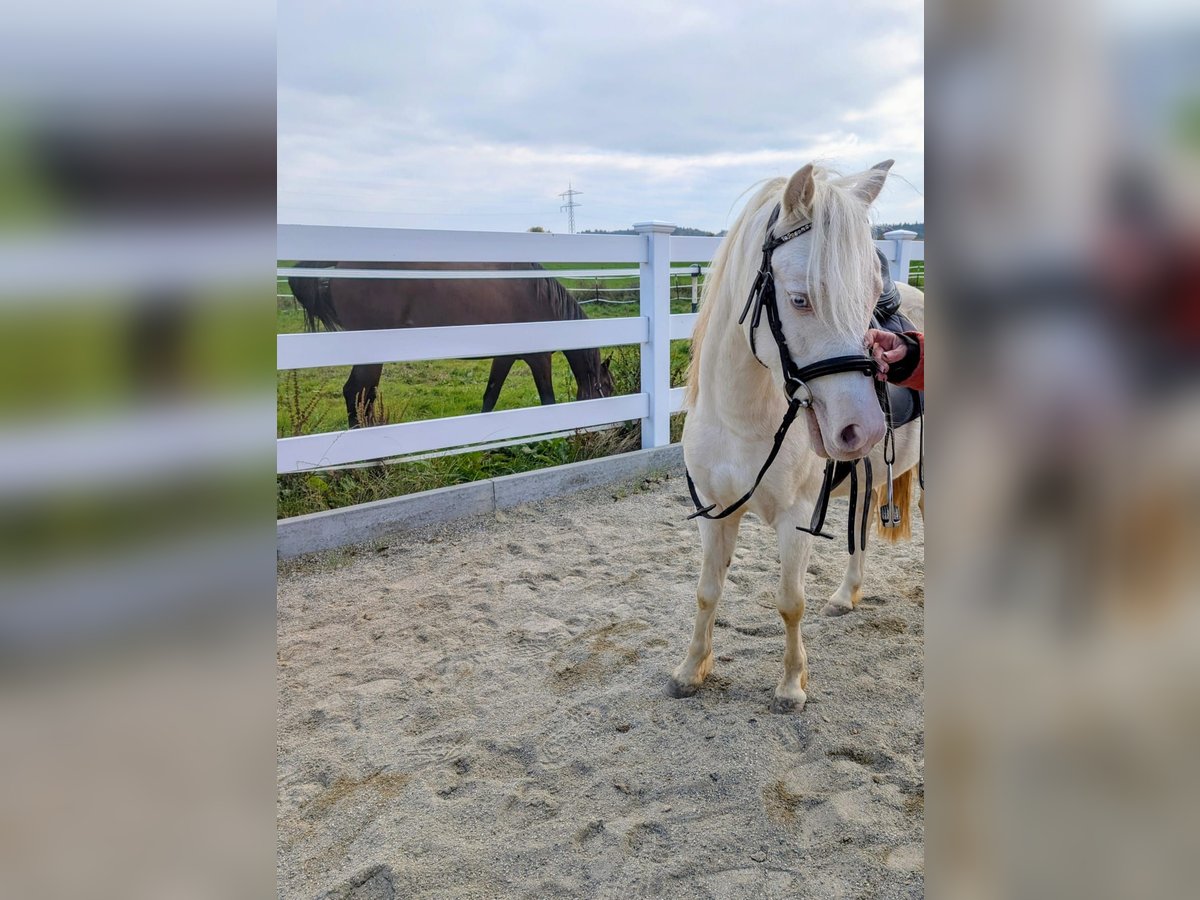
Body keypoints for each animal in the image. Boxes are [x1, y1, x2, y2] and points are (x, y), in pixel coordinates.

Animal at [287, 262, 615, 428]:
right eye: (609, 388)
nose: (617, 432)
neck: (541, 299)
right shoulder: (539, 359)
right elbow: (548, 400)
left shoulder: (505, 357)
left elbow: (490, 397)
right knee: (357, 393)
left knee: (359, 393)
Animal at [672, 160, 924, 713]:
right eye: (799, 299)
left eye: (870, 295)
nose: (862, 427)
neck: (743, 420)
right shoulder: (715, 512)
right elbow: (705, 592)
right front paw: (691, 669)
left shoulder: (797, 517)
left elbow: (789, 602)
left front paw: (790, 685)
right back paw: (846, 595)